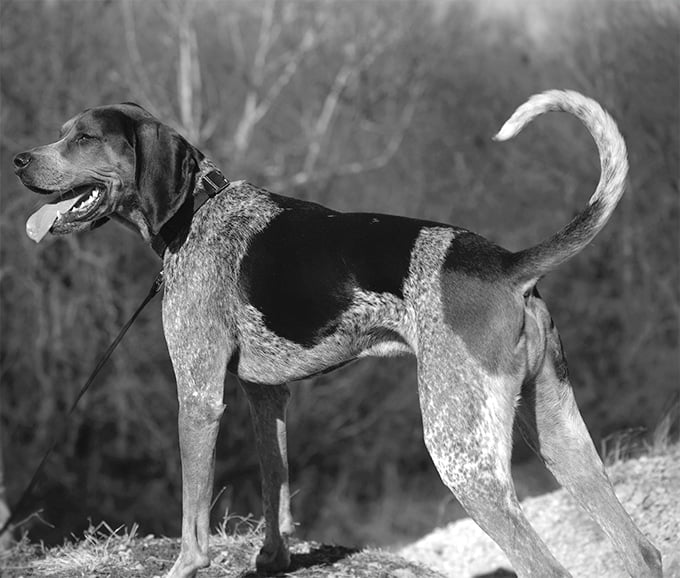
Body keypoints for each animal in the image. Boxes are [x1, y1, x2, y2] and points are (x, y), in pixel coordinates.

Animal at [13, 91, 660, 576]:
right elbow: (276, 484)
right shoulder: (264, 394)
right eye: (63, 132)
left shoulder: (198, 396)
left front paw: (185, 568)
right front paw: (272, 560)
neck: (195, 213)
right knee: (642, 551)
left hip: (460, 452)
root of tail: (507, 264)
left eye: (84, 138)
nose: (19, 160)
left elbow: (193, 520)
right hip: (557, 429)